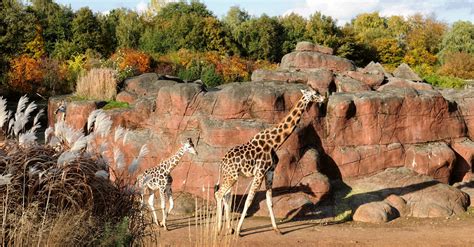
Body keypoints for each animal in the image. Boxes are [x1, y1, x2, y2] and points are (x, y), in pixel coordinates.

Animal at [215, 88, 326, 235]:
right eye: (314, 93)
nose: (324, 98)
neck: (275, 143)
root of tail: (221, 162)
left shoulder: (270, 172)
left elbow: (269, 201)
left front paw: (277, 229)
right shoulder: (260, 172)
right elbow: (248, 201)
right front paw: (239, 230)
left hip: (231, 176)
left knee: (226, 196)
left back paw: (228, 229)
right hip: (231, 176)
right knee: (219, 194)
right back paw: (219, 230)